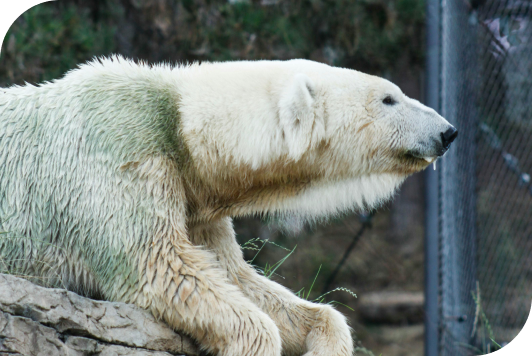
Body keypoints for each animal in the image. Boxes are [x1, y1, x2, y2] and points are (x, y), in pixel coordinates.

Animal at [0, 57, 458, 354]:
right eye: (389, 99)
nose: (447, 131)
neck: (180, 121)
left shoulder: (197, 202)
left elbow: (237, 276)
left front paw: (325, 340)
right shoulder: (121, 149)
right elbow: (160, 265)